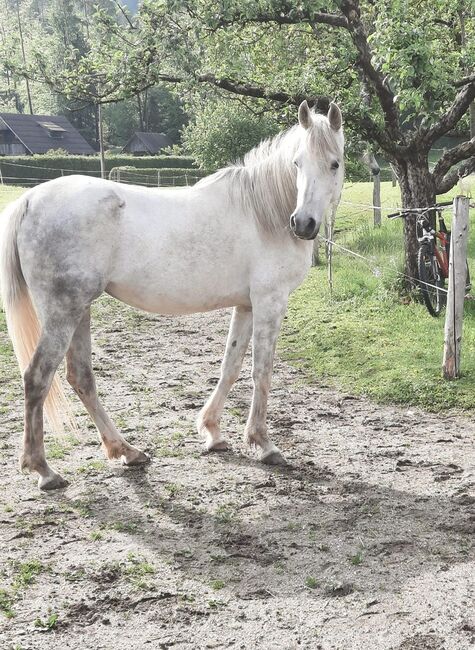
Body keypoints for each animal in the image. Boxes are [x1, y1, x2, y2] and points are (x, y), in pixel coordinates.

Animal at [0, 100, 344, 486]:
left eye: (334, 163)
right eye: (297, 163)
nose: (303, 224)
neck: (263, 212)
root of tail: (29, 199)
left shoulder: (247, 306)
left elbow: (230, 366)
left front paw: (212, 432)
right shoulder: (270, 302)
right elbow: (262, 371)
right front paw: (263, 444)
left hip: (80, 310)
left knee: (81, 377)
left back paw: (126, 450)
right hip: (63, 312)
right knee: (38, 377)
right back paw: (43, 469)